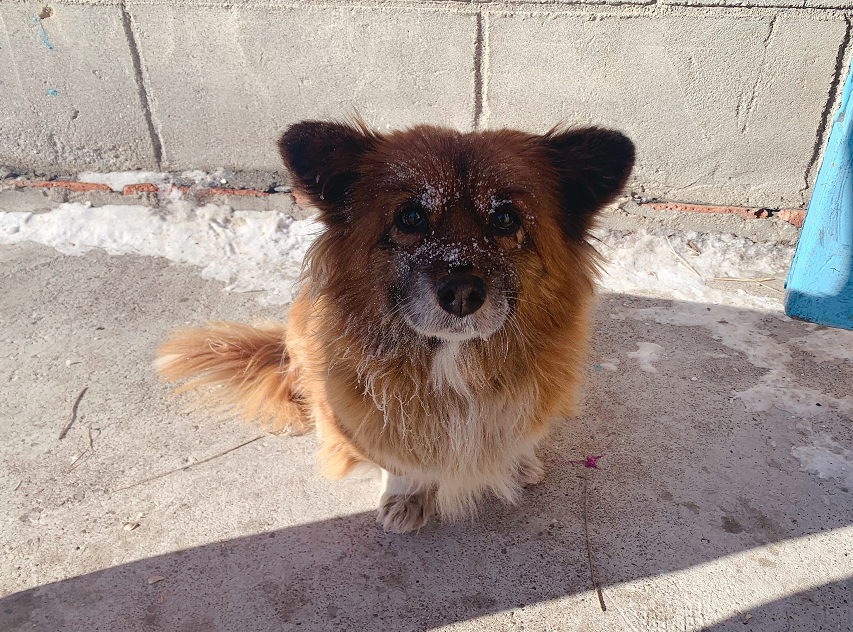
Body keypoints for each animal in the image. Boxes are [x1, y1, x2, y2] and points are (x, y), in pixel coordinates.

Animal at [156, 119, 632, 532]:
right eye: (410, 217)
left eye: (504, 218)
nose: (462, 292)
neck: (454, 363)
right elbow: (399, 460)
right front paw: (405, 498)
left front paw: (519, 461)